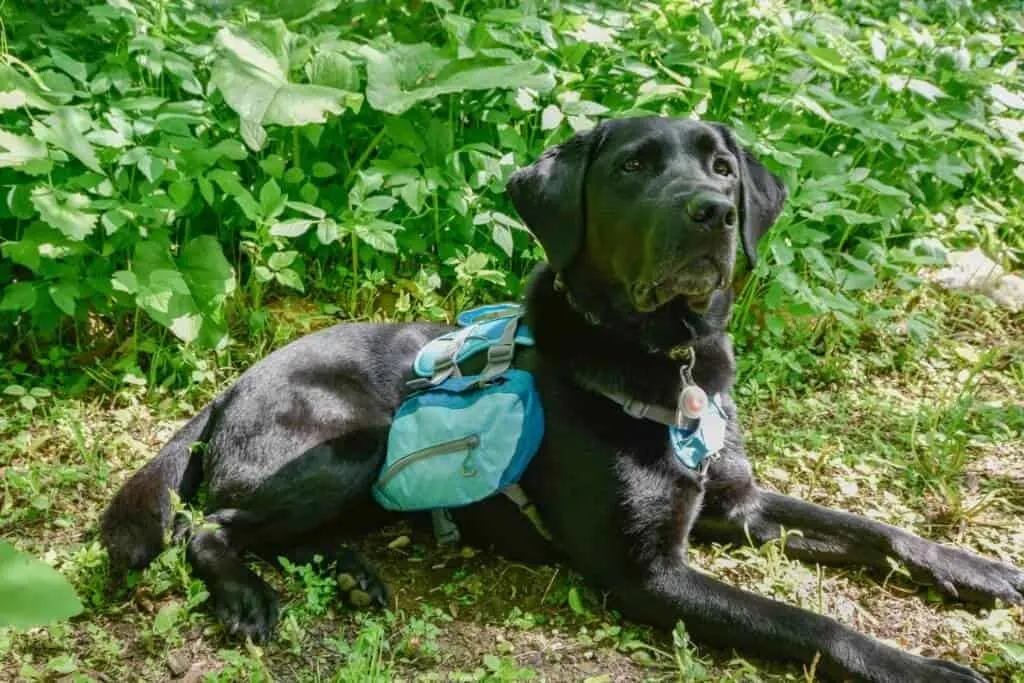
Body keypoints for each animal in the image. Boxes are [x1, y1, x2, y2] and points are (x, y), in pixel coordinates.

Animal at [105, 116, 1024, 679]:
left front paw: (980, 568)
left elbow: (879, 529)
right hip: (358, 441)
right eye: (632, 167)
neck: (667, 361)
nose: (714, 211)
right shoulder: (646, 573)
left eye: (723, 166)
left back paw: (353, 569)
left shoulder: (743, 504)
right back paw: (249, 594)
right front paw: (924, 669)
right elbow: (812, 624)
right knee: (207, 526)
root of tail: (229, 386)